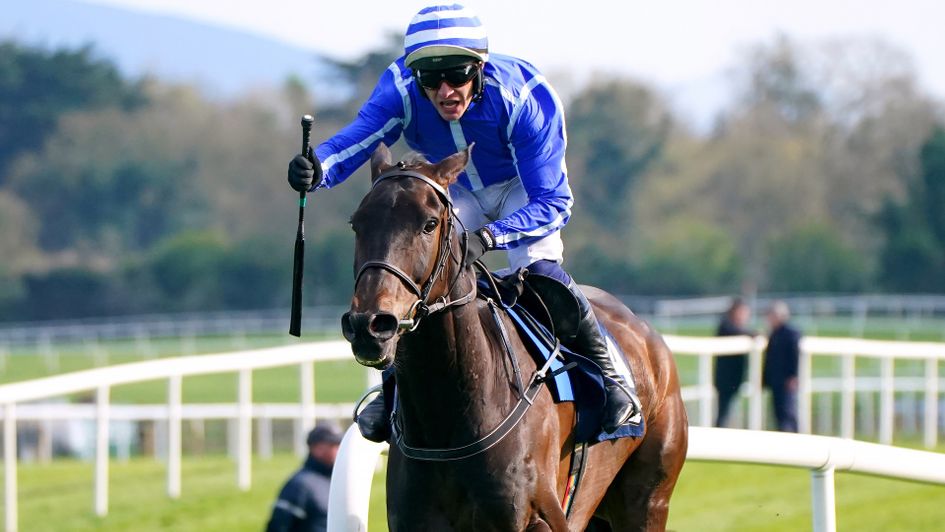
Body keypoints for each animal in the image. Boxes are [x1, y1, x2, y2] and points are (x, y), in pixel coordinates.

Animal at [340, 143, 684, 528]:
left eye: (429, 224)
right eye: (357, 223)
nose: (370, 325)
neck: (449, 414)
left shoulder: (541, 517)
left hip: (647, 500)